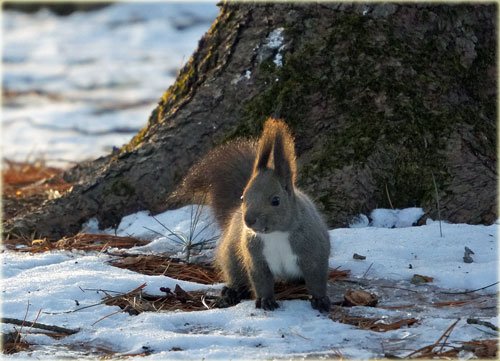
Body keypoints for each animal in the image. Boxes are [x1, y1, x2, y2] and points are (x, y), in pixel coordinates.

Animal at [171, 116, 332, 310]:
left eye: (276, 201)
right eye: (242, 197)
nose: (248, 220)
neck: (275, 235)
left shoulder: (313, 252)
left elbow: (316, 279)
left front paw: (320, 299)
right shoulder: (255, 259)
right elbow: (260, 281)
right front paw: (265, 300)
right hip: (232, 255)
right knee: (237, 276)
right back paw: (232, 292)